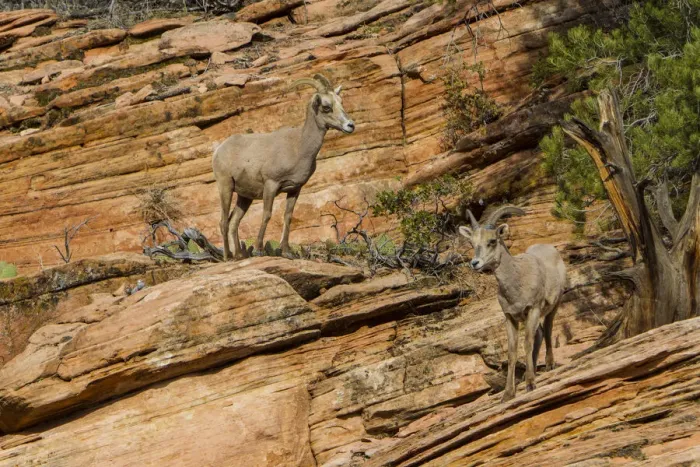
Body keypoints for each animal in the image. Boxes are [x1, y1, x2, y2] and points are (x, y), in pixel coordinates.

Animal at [212, 74, 355, 260]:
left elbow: (288, 217)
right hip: (226, 187)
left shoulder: (295, 189)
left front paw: (287, 251)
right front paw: (259, 249)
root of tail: (219, 150)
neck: (299, 146)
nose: (350, 125)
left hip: (245, 197)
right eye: (326, 107)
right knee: (223, 222)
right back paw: (228, 257)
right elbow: (267, 215)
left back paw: (239, 256)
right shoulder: (271, 185)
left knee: (233, 222)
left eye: (340, 102)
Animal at [459, 206, 567, 402]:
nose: (475, 263)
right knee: (540, 333)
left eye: (492, 241)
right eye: (472, 243)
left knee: (547, 329)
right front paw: (508, 394)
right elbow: (512, 352)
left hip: (554, 305)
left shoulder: (533, 309)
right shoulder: (510, 317)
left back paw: (549, 365)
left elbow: (527, 343)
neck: (517, 281)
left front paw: (531, 384)